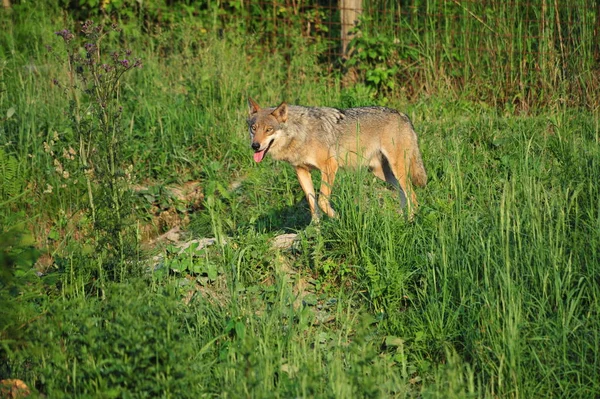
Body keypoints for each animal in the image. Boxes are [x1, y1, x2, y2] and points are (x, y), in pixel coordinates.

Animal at [247, 98, 426, 220]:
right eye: (254, 128)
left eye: (269, 129)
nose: (255, 146)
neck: (301, 133)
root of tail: (404, 116)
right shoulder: (301, 171)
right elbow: (313, 206)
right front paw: (315, 232)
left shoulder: (330, 166)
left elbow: (322, 201)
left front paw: (338, 218)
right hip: (384, 174)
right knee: (404, 194)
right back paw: (401, 219)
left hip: (397, 170)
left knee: (413, 196)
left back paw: (410, 221)